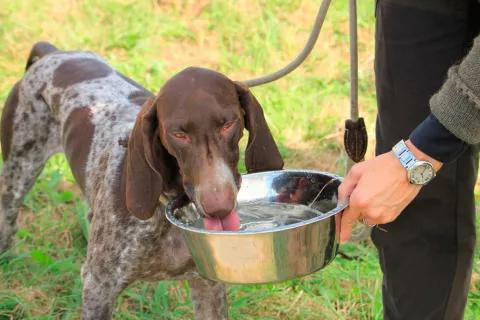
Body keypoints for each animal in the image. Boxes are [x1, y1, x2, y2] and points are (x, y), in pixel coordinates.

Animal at [0, 42, 284, 318]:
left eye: (228, 124)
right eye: (178, 134)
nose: (219, 207)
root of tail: (53, 52)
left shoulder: (207, 285)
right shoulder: (98, 286)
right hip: (17, 172)